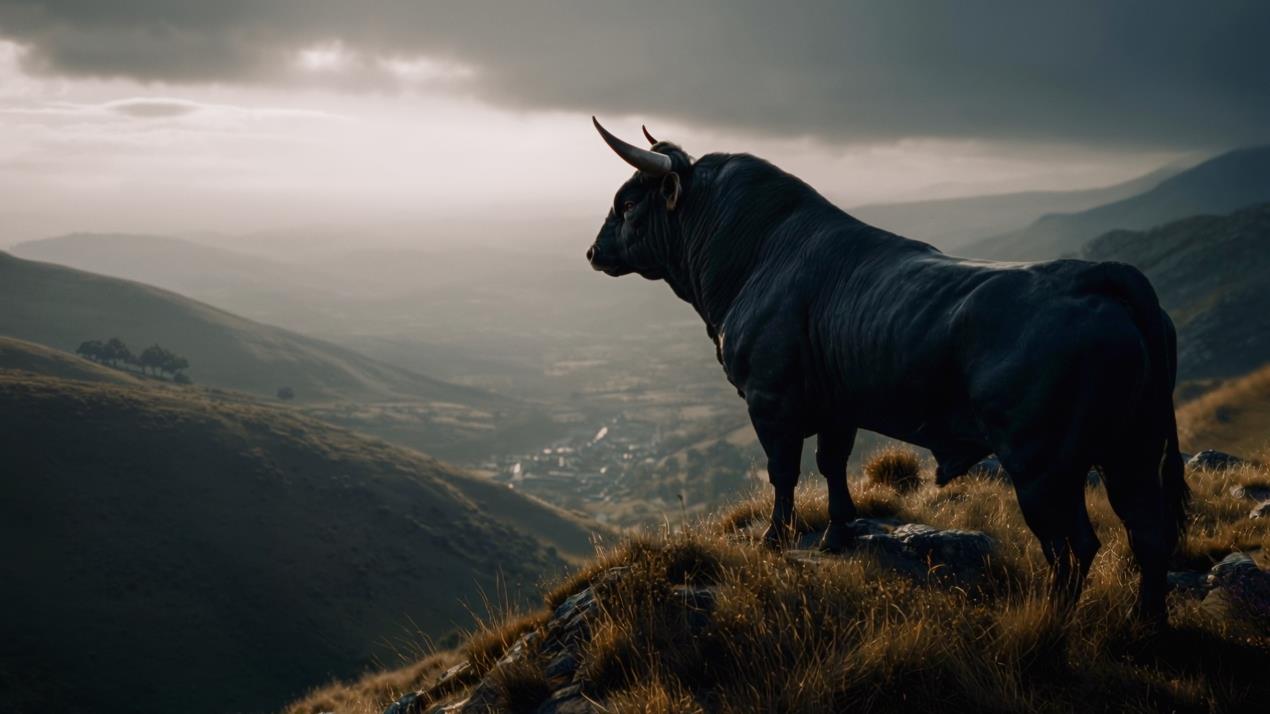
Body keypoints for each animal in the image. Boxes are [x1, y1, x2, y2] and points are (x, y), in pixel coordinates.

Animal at [585, 118, 1188, 624]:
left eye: (627, 202)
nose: (592, 252)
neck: (752, 257)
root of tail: (1097, 275)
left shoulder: (770, 400)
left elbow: (783, 474)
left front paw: (775, 540)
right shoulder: (838, 406)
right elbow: (832, 466)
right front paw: (838, 533)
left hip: (1042, 464)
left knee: (1073, 546)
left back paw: (1053, 621)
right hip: (1131, 450)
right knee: (1146, 531)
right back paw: (1146, 623)